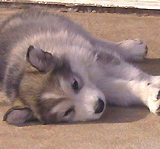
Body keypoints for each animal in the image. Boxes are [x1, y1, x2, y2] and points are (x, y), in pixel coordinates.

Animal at [1, 9, 160, 125]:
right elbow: (123, 89)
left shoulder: (93, 61)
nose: (99, 106)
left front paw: (154, 83)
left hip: (74, 32)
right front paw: (150, 95)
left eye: (75, 84)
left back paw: (133, 48)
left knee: (103, 44)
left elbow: (133, 74)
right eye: (67, 112)